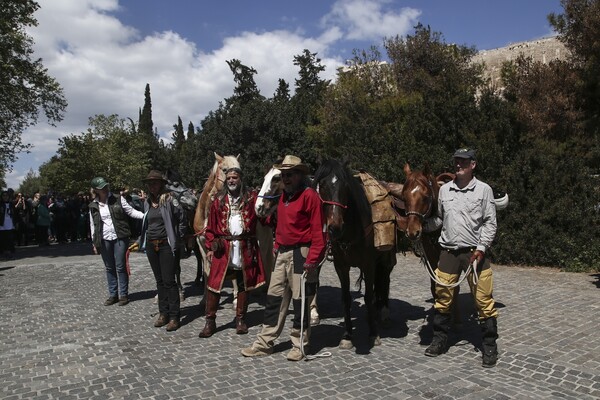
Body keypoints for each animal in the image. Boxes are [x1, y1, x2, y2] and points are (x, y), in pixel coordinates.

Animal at [312, 161, 396, 348]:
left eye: (345, 186)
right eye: (322, 185)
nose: (335, 227)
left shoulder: (369, 264)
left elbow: (368, 295)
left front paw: (373, 333)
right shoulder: (341, 266)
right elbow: (346, 298)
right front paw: (347, 335)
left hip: (385, 260)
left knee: (384, 280)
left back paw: (384, 312)